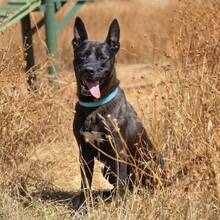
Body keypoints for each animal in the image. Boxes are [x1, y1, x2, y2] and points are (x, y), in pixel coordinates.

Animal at [72, 16, 163, 206]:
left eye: (103, 58)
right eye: (82, 56)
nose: (89, 70)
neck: (94, 106)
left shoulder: (119, 152)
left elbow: (121, 185)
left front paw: (121, 208)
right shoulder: (84, 153)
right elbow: (85, 184)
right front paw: (83, 208)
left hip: (149, 161)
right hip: (106, 169)